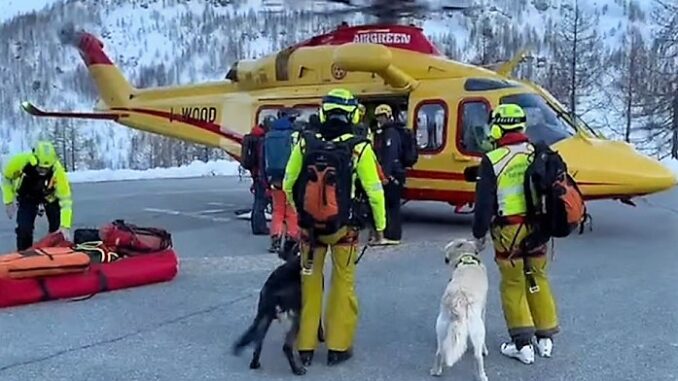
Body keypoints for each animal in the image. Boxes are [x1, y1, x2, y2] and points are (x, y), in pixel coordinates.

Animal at [232, 240, 326, 374]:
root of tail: (274, 288)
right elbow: (318, 322)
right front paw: (321, 336)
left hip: (265, 316)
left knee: (258, 342)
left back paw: (254, 363)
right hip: (296, 316)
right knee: (287, 346)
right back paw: (296, 369)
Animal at [432, 236, 492, 378]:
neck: (466, 259)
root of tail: (458, 300)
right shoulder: (483, 312)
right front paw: (485, 350)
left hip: (441, 326)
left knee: (439, 351)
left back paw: (436, 371)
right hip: (478, 328)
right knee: (477, 357)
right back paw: (482, 375)